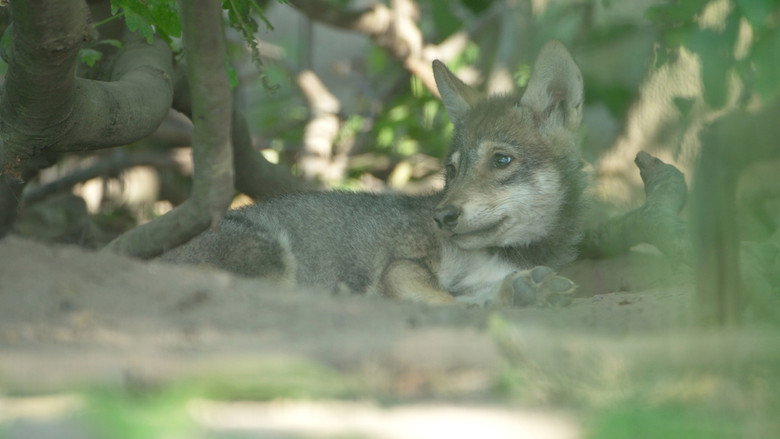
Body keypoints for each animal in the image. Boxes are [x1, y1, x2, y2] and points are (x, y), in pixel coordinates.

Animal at [161, 41, 587, 307]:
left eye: (501, 160)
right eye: (452, 170)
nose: (442, 217)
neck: (508, 255)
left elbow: (475, 295)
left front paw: (524, 292)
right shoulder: (401, 268)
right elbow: (449, 301)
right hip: (270, 254)